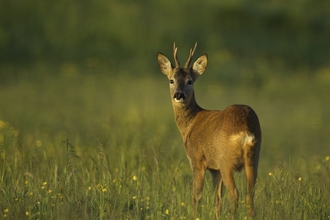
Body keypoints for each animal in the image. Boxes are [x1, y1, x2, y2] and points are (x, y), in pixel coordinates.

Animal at [156, 41, 262, 218]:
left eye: (190, 81)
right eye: (171, 80)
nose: (178, 95)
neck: (190, 124)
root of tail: (246, 130)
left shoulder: (197, 160)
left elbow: (196, 196)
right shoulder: (215, 169)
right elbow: (217, 200)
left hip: (227, 161)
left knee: (235, 194)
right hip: (253, 159)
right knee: (250, 195)